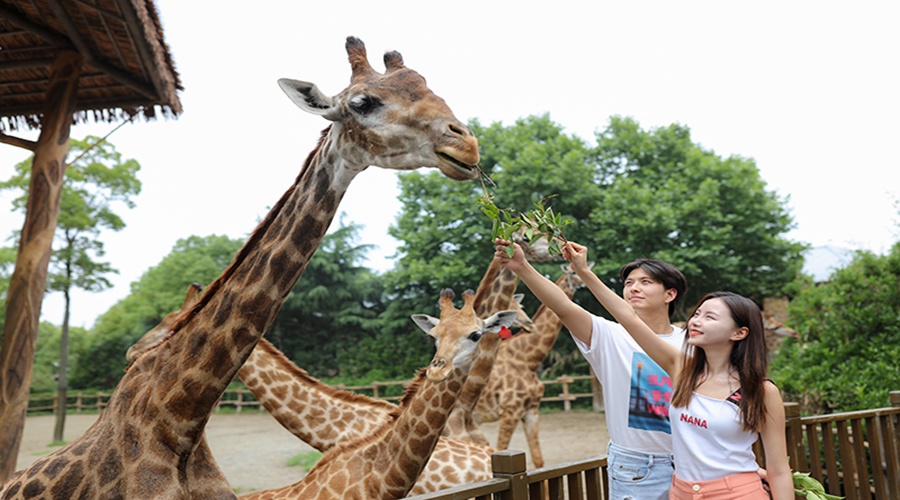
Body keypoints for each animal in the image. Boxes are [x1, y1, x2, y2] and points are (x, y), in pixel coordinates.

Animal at [474, 264, 588, 466]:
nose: (529, 324)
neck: (529, 359)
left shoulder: (531, 411)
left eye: (521, 306)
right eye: (573, 272)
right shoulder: (510, 411)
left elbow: (539, 460)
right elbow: (500, 449)